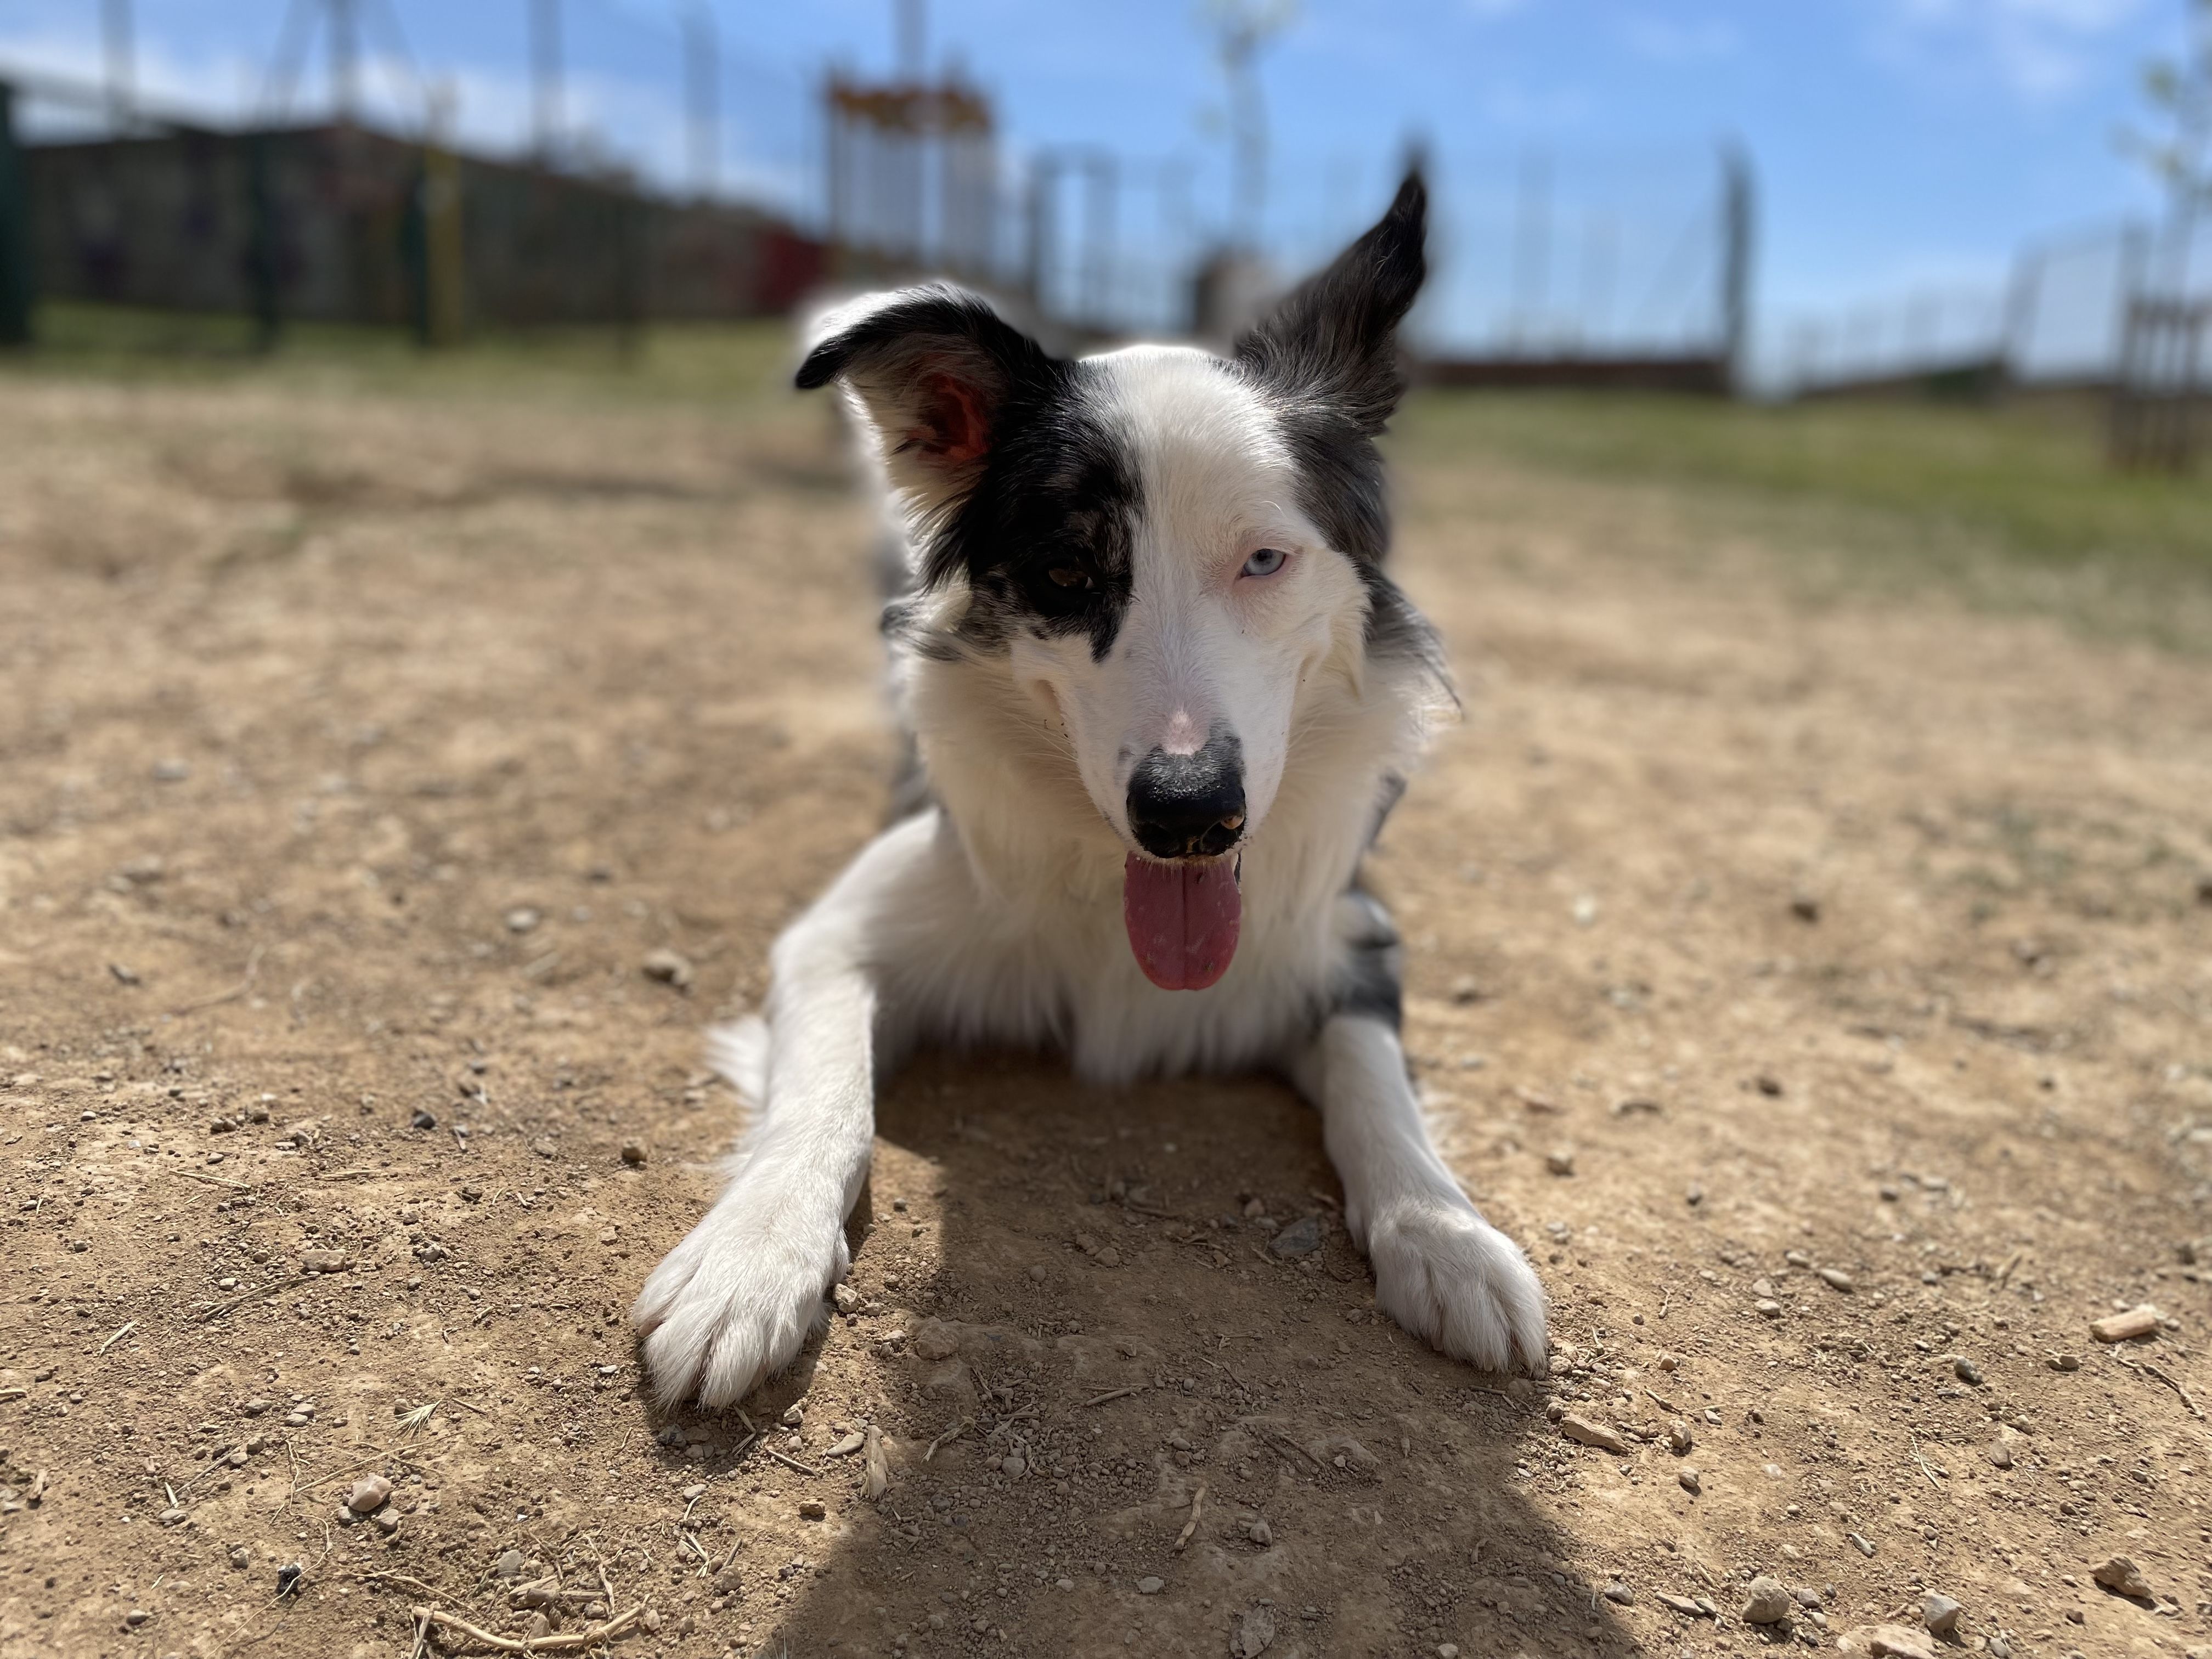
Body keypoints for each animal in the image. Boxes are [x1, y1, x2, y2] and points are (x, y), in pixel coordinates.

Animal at [633, 172, 1548, 1415]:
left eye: (1264, 560)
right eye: (1068, 571)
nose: (1188, 813)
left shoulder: (1350, 934)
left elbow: (1378, 1083)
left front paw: (1448, 1237)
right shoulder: (839, 934)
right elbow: (823, 1093)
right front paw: (748, 1259)